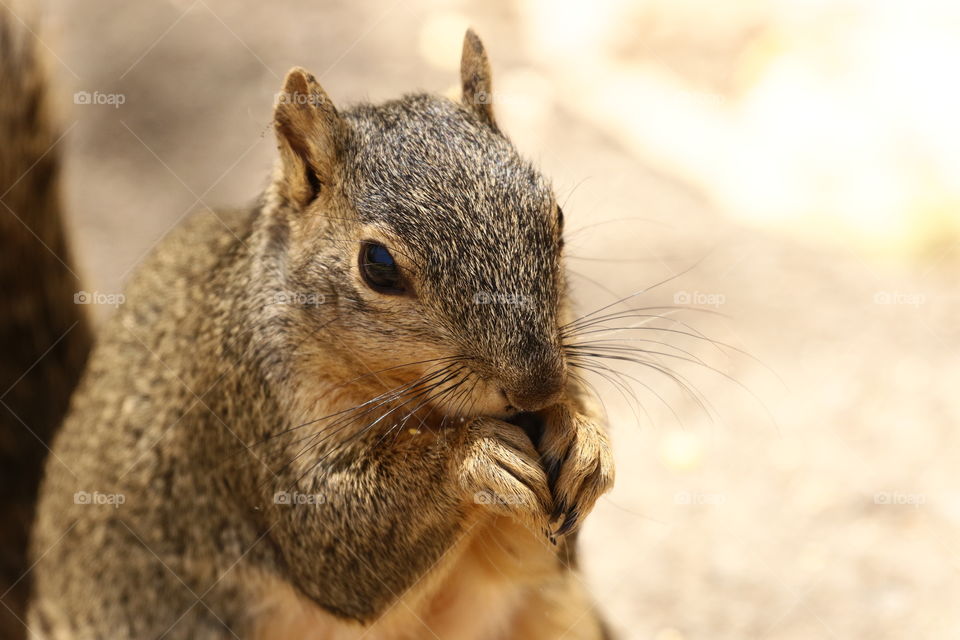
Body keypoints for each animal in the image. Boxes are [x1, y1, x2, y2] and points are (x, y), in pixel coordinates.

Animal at [7, 8, 620, 636]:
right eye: (377, 265)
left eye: (556, 216)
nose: (537, 388)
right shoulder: (248, 407)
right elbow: (332, 548)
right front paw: (473, 455)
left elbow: (540, 552)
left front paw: (584, 438)